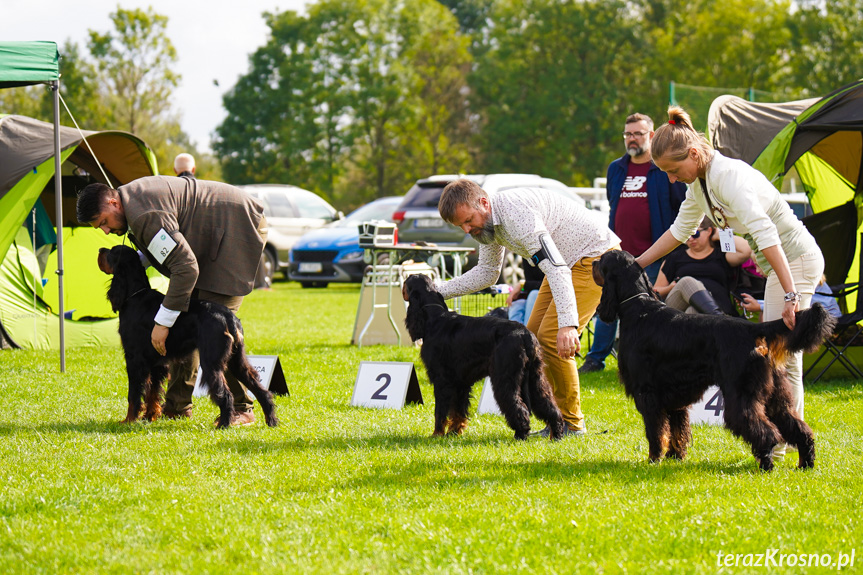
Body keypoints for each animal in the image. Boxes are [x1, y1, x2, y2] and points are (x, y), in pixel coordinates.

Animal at [402, 274, 564, 440]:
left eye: (406, 282)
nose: (406, 276)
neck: (434, 317)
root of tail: (524, 334)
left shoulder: (442, 380)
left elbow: (440, 412)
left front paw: (437, 434)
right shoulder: (460, 383)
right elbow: (458, 411)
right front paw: (454, 432)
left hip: (504, 377)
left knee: (518, 406)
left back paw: (520, 435)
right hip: (535, 376)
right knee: (548, 405)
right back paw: (556, 435)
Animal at [596, 252, 832, 472]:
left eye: (603, 259)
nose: (592, 262)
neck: (639, 308)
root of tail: (754, 329)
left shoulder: (648, 393)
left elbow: (655, 431)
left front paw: (653, 460)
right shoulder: (673, 398)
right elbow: (677, 431)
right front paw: (675, 456)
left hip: (740, 394)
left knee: (765, 432)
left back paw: (766, 466)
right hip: (776, 395)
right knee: (799, 428)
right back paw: (805, 464)